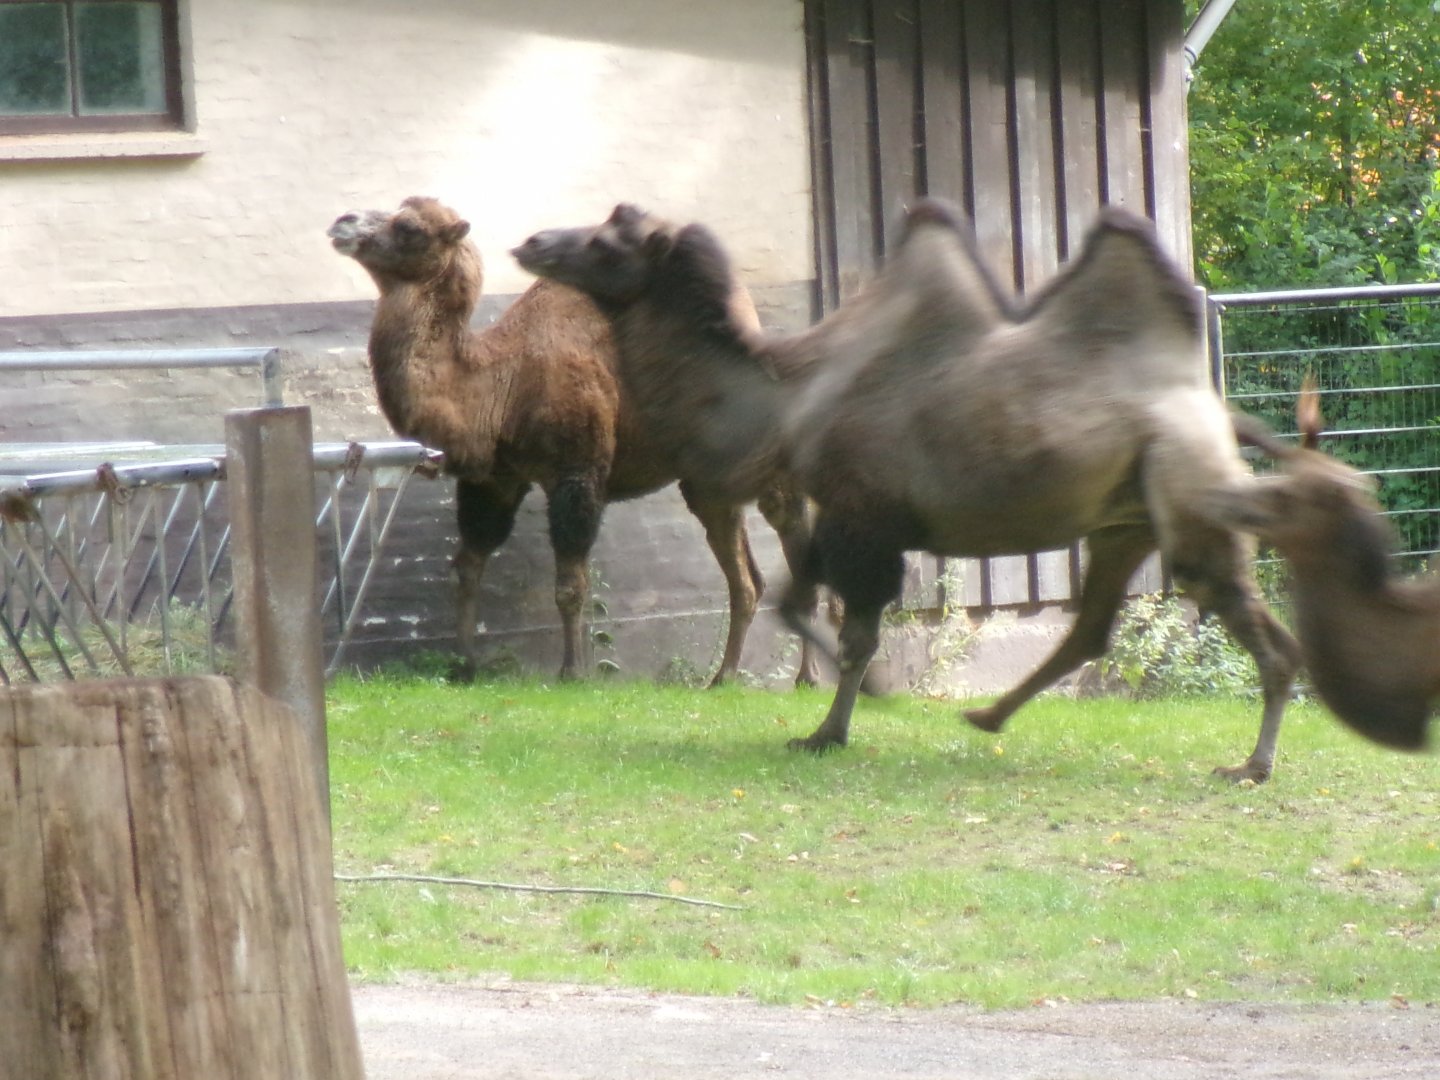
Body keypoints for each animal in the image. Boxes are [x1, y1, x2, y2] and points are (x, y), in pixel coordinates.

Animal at [328, 196, 819, 685]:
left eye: (410, 228)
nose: (342, 221)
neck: (501, 381)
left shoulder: (577, 472)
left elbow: (570, 585)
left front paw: (572, 671)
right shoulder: (495, 480)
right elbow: (466, 569)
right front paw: (463, 664)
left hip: (773, 470)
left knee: (794, 541)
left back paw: (806, 678)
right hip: (706, 483)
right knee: (746, 579)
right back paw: (723, 677)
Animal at [514, 200, 1304, 783]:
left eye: (609, 240)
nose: (530, 240)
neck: (785, 394)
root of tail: (1217, 414)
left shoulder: (862, 518)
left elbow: (852, 630)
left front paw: (834, 726)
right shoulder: (844, 514)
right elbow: (794, 601)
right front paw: (860, 703)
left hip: (1188, 493)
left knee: (1254, 626)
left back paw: (1252, 765)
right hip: (1125, 520)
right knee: (1093, 625)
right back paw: (988, 716)